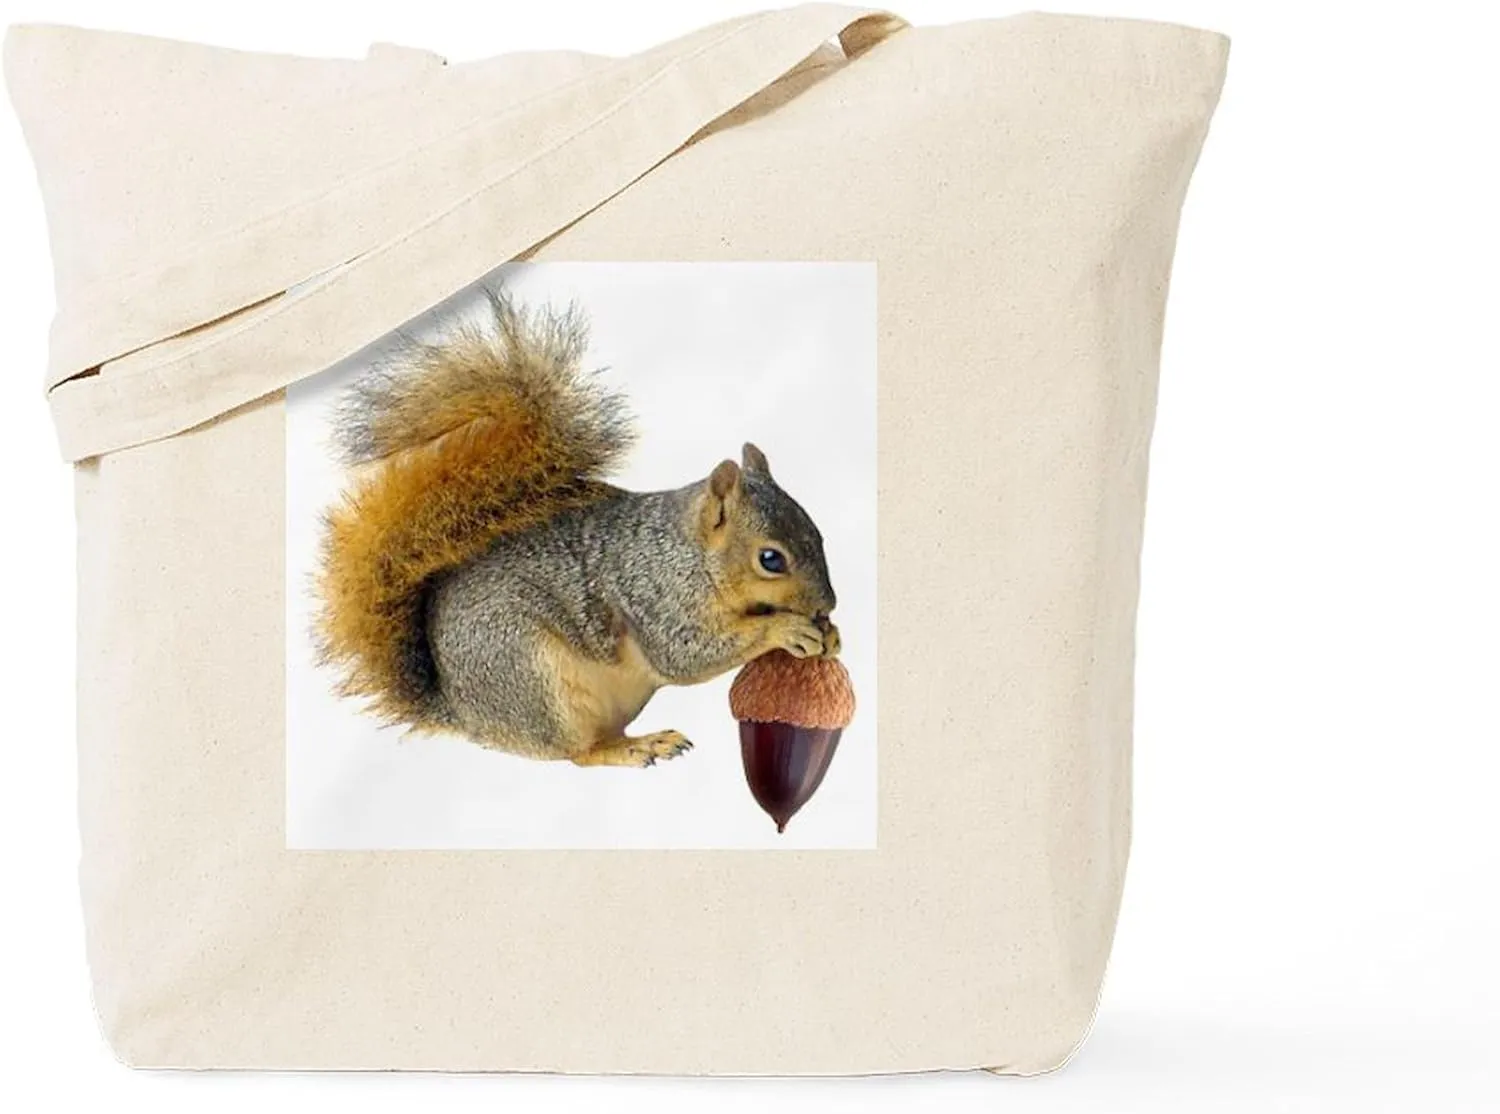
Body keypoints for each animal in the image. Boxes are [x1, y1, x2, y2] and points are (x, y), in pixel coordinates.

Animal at [314, 288, 840, 768]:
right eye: (770, 559)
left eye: (817, 532)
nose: (827, 605)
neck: (688, 555)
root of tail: (465, 712)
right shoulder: (656, 599)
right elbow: (687, 654)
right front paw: (787, 629)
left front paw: (830, 634)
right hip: (535, 677)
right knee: (580, 754)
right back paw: (636, 747)